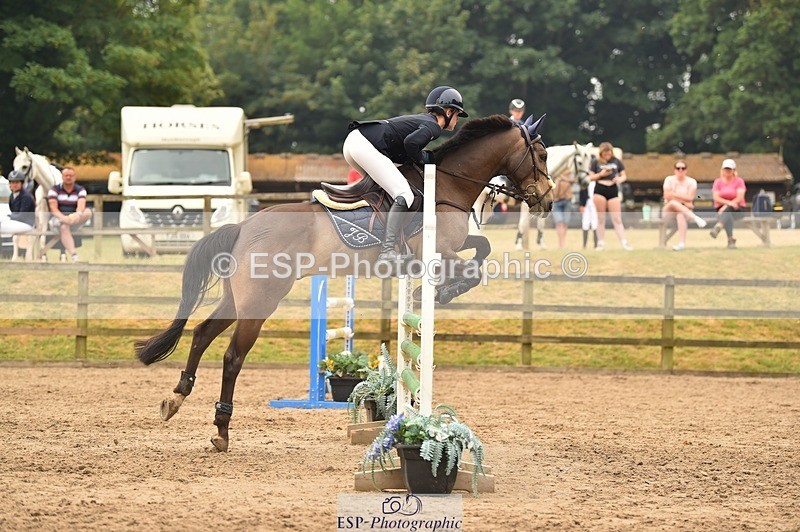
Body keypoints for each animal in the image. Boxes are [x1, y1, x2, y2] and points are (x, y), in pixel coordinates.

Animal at [134, 113, 553, 452]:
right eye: (543, 155)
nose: (547, 201)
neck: (448, 187)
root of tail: (242, 227)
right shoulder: (439, 251)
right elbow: (472, 270)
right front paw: (439, 291)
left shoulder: (454, 246)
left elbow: (482, 249)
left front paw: (435, 290)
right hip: (261, 301)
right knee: (232, 356)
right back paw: (221, 430)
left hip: (237, 298)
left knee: (202, 333)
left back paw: (176, 398)